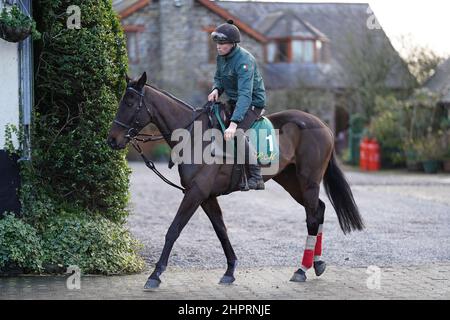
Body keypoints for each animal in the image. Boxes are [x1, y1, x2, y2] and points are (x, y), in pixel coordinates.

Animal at [107, 73, 364, 290]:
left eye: (129, 103)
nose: (112, 139)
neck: (194, 136)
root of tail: (321, 125)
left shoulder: (195, 193)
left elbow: (174, 230)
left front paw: (155, 275)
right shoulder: (206, 196)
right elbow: (221, 230)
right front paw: (230, 271)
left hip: (308, 181)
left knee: (312, 217)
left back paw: (302, 269)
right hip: (292, 182)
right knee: (318, 209)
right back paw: (317, 263)